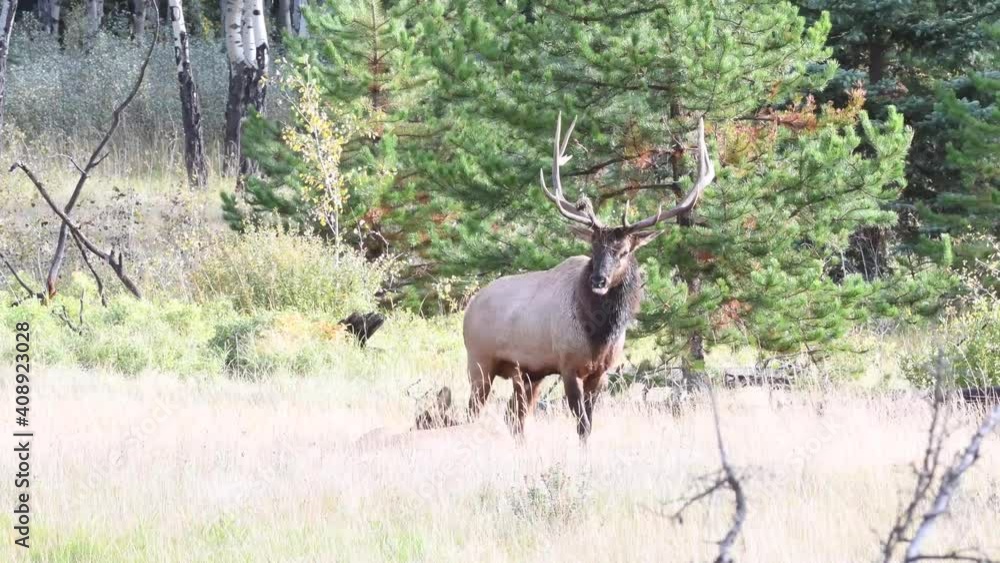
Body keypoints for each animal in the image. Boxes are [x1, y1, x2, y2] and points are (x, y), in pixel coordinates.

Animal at [464, 113, 716, 440]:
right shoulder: (568, 365)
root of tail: (469, 308)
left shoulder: (601, 372)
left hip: (528, 373)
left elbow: (589, 424)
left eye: (623, 251)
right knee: (470, 412)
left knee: (514, 418)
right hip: (479, 361)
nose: (599, 281)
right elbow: (581, 423)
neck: (598, 333)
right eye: (593, 248)